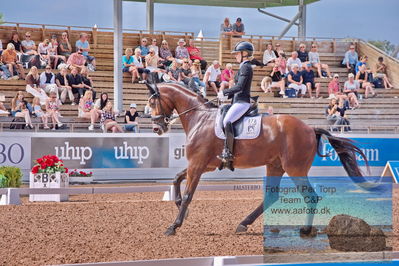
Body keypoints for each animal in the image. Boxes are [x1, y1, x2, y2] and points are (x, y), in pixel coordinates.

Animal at [146, 82, 372, 236]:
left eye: (152, 102)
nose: (157, 128)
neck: (200, 118)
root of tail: (310, 128)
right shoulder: (203, 165)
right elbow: (176, 179)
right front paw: (181, 212)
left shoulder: (198, 164)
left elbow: (187, 194)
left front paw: (174, 226)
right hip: (276, 166)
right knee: (272, 196)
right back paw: (243, 223)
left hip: (295, 169)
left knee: (310, 197)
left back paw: (306, 230)